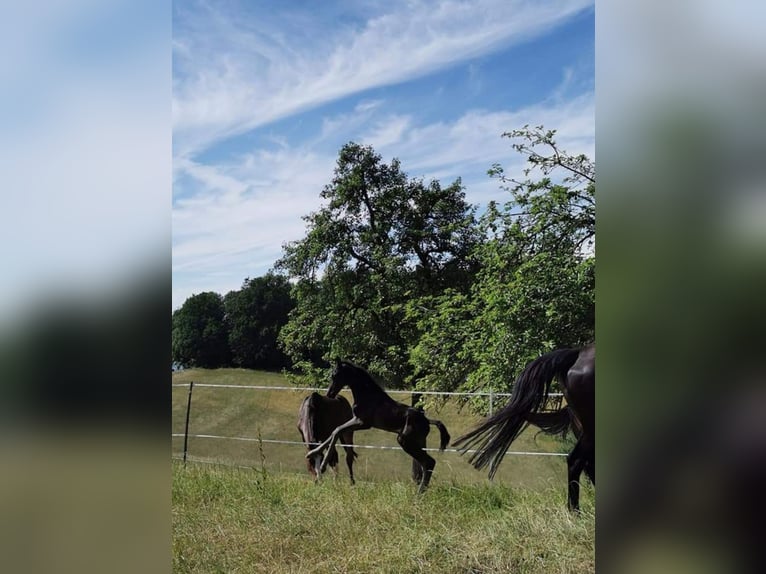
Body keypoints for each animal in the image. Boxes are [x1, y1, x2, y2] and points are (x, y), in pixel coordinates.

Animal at [304, 362, 452, 492]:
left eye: (336, 375)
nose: (330, 394)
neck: (367, 395)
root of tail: (427, 421)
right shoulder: (355, 420)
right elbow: (336, 430)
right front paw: (313, 453)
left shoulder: (362, 423)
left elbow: (338, 430)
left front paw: (322, 465)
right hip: (419, 442)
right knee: (425, 464)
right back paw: (421, 491)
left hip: (405, 441)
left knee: (429, 462)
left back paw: (418, 494)